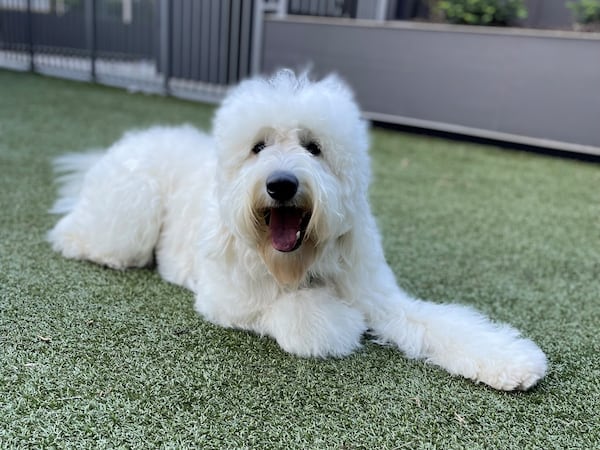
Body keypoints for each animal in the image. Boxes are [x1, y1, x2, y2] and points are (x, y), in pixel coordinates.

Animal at [49, 69, 548, 390]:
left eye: (313, 147)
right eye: (258, 147)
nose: (282, 184)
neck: (301, 260)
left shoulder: (378, 294)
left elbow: (441, 322)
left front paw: (512, 360)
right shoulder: (230, 298)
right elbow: (302, 316)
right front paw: (344, 322)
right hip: (130, 220)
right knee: (77, 236)